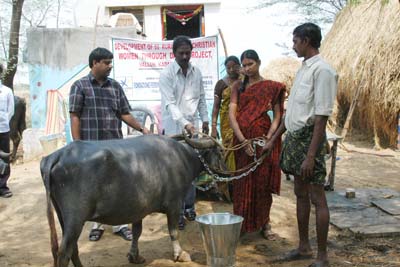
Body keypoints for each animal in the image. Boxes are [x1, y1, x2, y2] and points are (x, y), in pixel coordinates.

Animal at [40, 135, 225, 266]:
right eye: (220, 152)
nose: (226, 171)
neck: (184, 157)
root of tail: (56, 155)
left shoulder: (138, 209)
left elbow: (137, 232)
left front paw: (134, 256)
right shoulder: (174, 204)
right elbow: (173, 231)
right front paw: (180, 255)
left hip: (62, 216)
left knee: (73, 249)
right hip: (76, 218)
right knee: (64, 253)